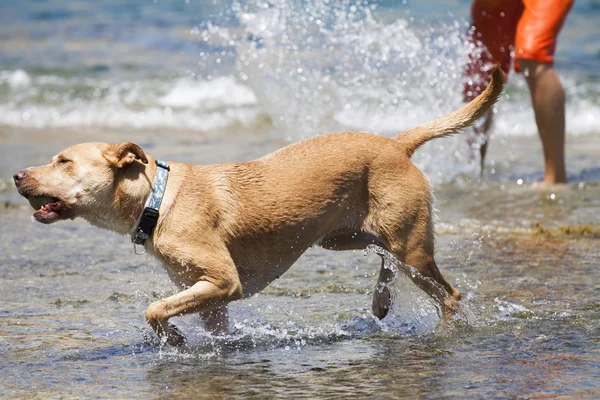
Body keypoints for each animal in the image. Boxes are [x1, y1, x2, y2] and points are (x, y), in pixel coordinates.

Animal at [12, 67, 502, 346]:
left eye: (63, 161)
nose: (16, 175)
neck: (158, 199)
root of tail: (397, 144)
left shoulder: (222, 281)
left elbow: (154, 308)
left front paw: (174, 337)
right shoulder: (208, 298)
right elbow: (197, 320)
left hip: (411, 245)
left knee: (447, 294)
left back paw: (441, 331)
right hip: (345, 235)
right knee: (384, 258)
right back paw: (381, 300)